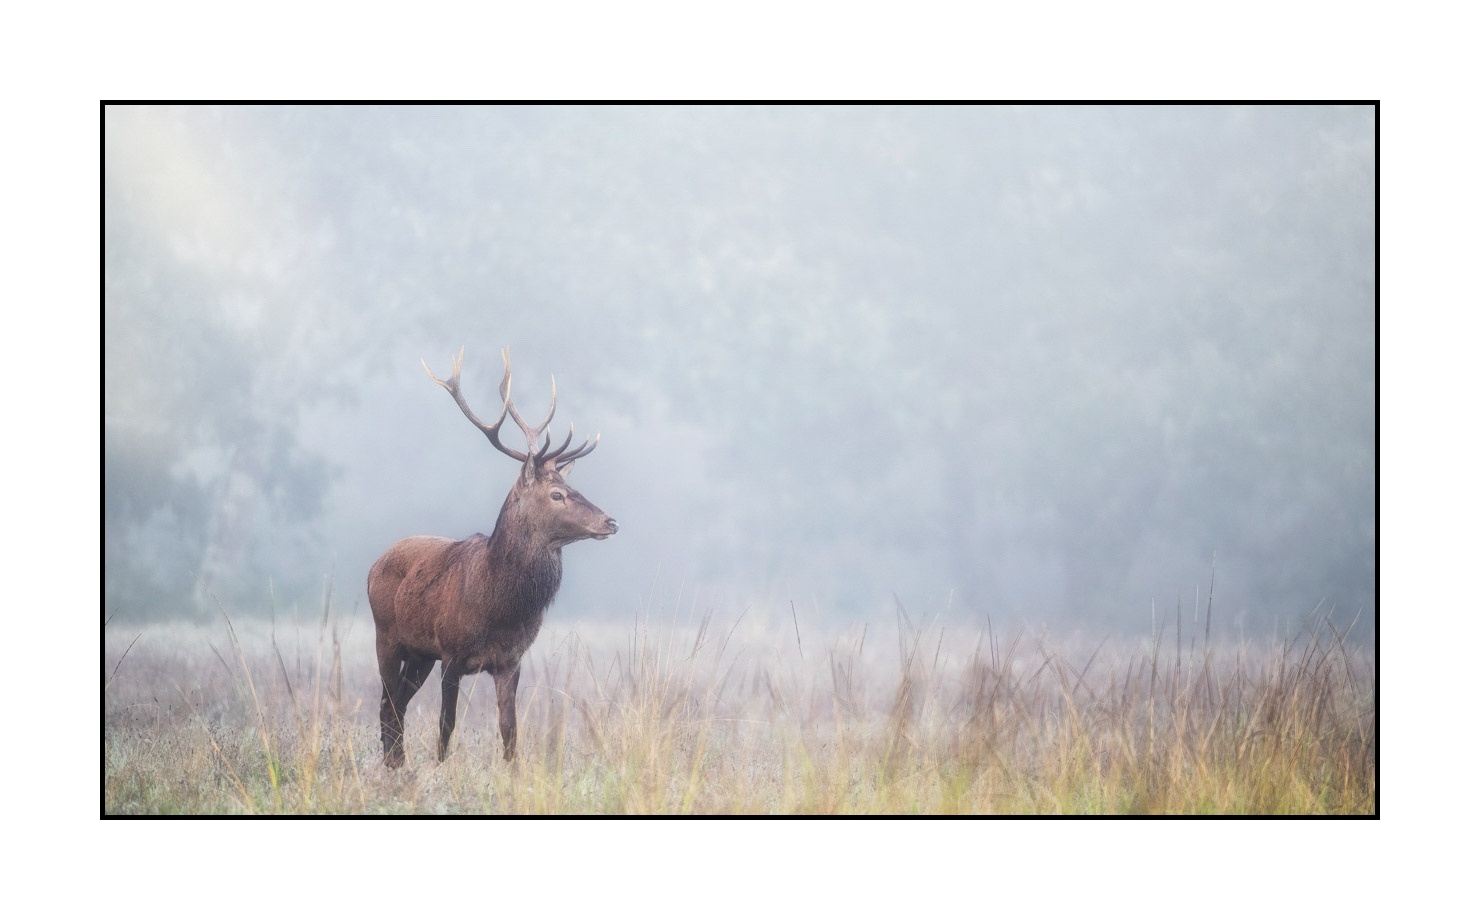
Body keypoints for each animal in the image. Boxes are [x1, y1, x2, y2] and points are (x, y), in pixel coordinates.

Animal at [368, 348, 618, 768]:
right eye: (557, 495)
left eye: (572, 487)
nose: (610, 521)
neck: (498, 604)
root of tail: (374, 564)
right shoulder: (452, 654)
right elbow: (446, 725)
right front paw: (441, 770)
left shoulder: (509, 661)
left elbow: (510, 731)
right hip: (386, 635)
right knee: (387, 703)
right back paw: (393, 765)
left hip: (420, 654)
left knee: (396, 703)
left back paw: (397, 764)